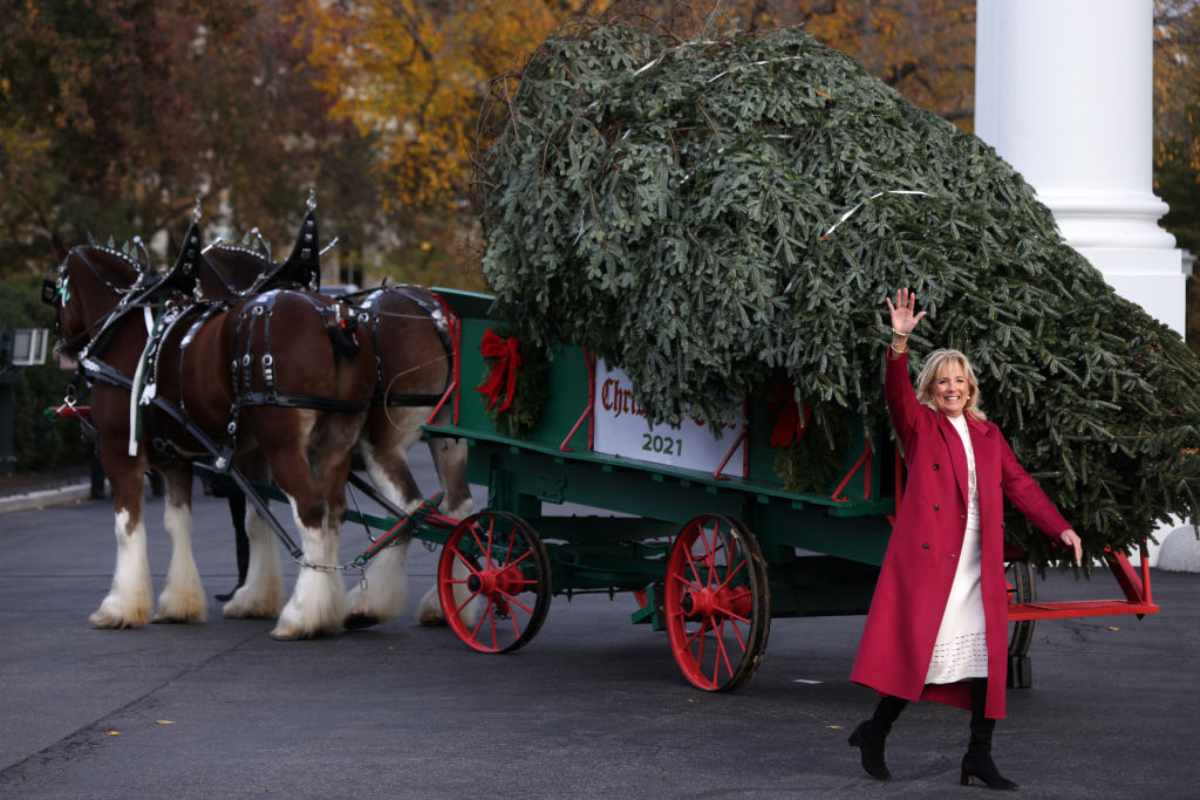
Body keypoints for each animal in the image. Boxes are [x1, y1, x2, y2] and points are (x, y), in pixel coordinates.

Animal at [46, 209, 374, 642]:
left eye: (55, 289)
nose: (63, 349)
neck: (129, 324)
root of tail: (331, 318)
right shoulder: (180, 458)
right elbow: (187, 522)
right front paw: (187, 602)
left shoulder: (119, 450)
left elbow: (127, 525)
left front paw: (119, 607)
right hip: (335, 441)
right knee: (334, 513)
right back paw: (330, 607)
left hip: (285, 446)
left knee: (311, 510)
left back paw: (302, 615)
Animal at [199, 241, 475, 628]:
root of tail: (435, 317)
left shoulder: (255, 455)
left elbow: (254, 519)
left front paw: (251, 594)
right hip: (449, 440)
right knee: (458, 507)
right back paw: (446, 603)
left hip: (383, 444)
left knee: (409, 510)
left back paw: (368, 605)